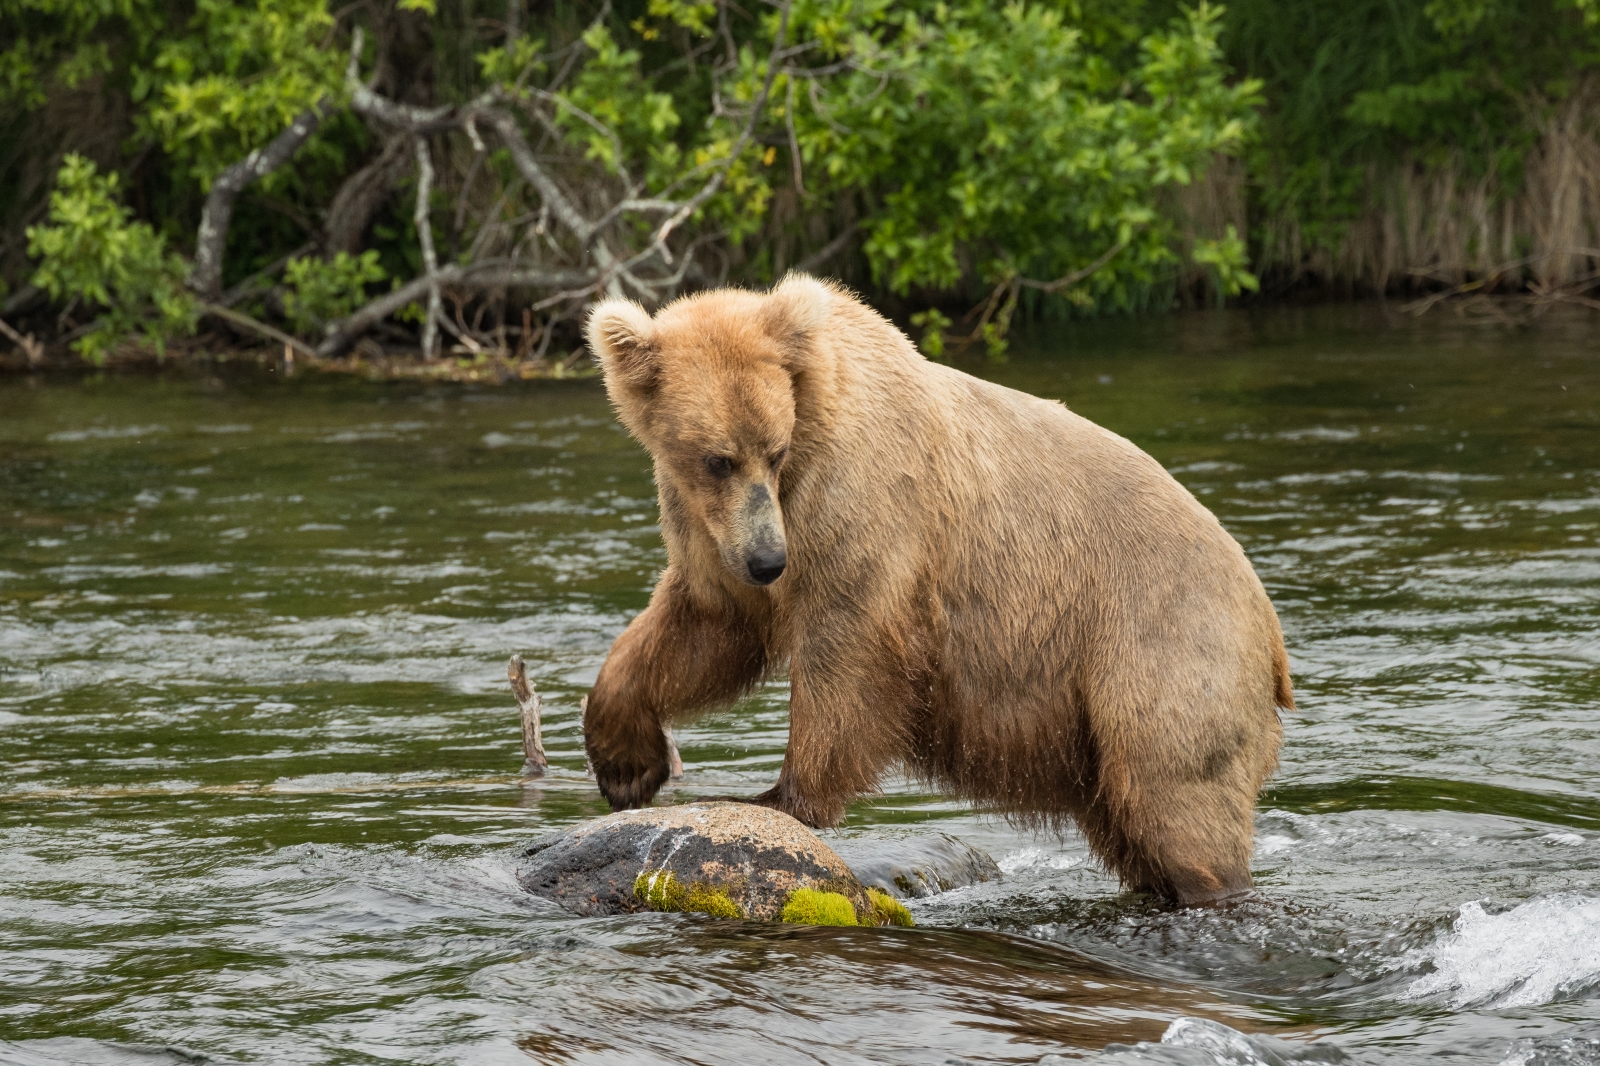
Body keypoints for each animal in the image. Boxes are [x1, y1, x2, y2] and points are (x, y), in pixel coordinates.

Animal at [582, 272, 1292, 896]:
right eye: (716, 460)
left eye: (774, 452)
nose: (767, 562)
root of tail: (1268, 621)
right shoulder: (713, 531)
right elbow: (704, 629)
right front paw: (625, 764)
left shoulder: (858, 504)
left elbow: (847, 648)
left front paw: (775, 795)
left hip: (1158, 643)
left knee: (1173, 794)